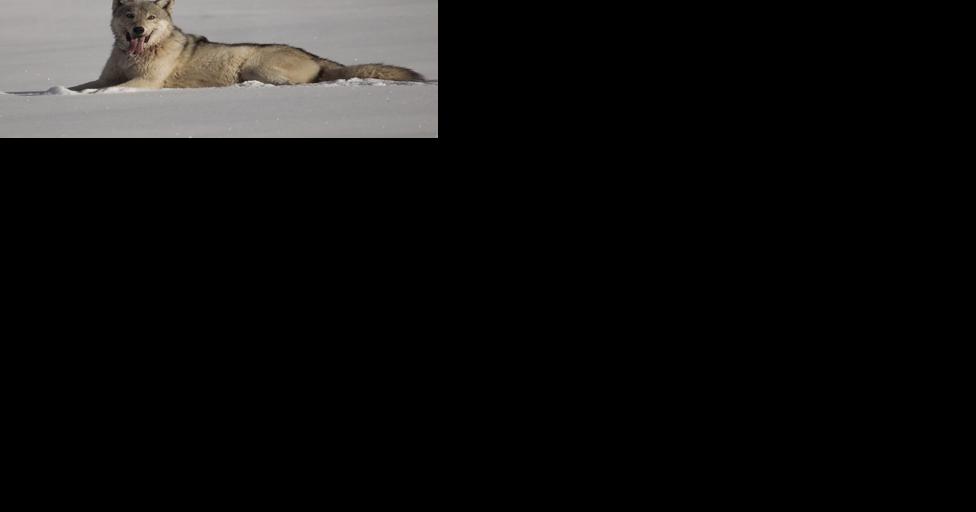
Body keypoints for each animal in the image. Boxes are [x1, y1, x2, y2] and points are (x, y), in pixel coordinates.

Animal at [70, 0, 424, 92]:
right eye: (130, 15)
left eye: (151, 16)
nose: (138, 29)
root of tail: (313, 54)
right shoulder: (107, 76)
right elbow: (82, 86)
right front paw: (62, 94)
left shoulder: (145, 81)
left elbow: (106, 90)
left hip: (256, 66)